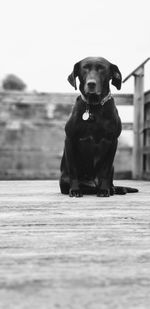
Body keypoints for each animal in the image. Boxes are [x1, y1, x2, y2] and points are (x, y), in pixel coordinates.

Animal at [59, 56, 138, 196]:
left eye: (102, 69)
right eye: (85, 68)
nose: (91, 84)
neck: (94, 108)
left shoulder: (112, 141)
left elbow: (105, 170)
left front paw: (104, 189)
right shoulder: (70, 139)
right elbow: (73, 169)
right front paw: (75, 190)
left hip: (112, 167)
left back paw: (114, 189)